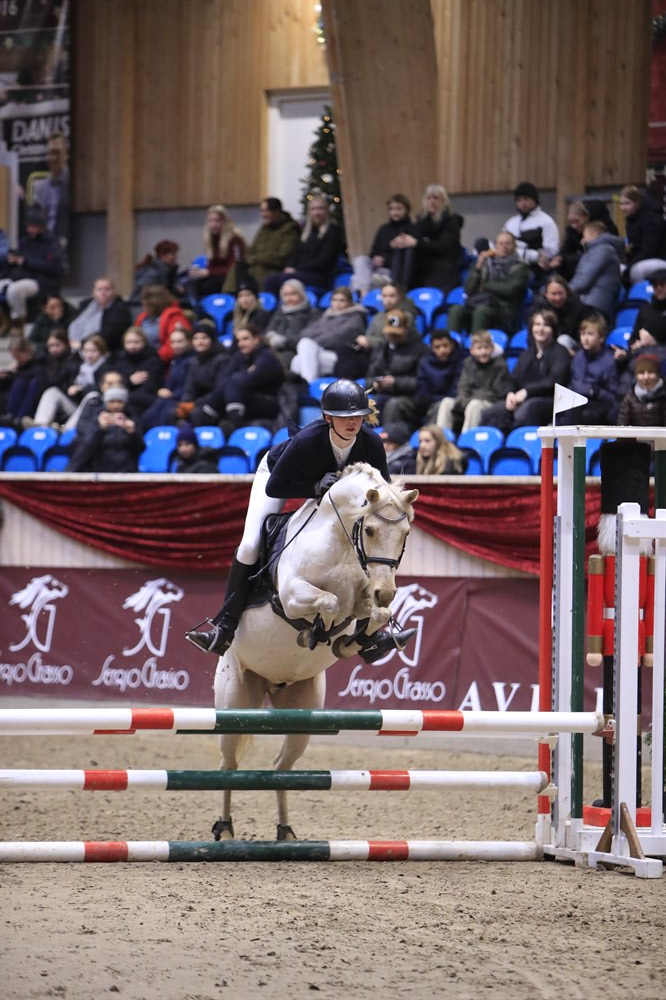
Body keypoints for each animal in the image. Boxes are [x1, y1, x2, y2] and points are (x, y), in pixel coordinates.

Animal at [212, 462, 418, 841]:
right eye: (369, 529)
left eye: (406, 532)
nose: (385, 592)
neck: (342, 545)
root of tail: (272, 684)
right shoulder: (293, 596)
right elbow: (330, 601)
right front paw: (317, 631)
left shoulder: (365, 598)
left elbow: (371, 614)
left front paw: (354, 642)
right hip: (234, 701)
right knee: (228, 764)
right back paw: (226, 829)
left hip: (302, 711)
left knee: (281, 766)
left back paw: (285, 832)